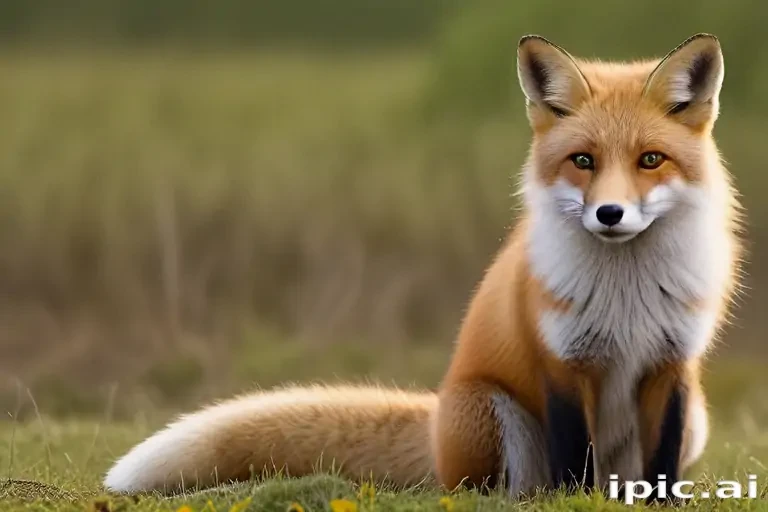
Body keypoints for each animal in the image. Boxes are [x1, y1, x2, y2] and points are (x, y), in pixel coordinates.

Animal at [104, 33, 742, 499]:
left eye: (650, 160)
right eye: (583, 161)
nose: (610, 214)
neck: (624, 295)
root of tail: (434, 423)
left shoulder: (672, 365)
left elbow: (659, 469)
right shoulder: (562, 362)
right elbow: (571, 462)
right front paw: (572, 500)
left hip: (698, 419)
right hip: (491, 414)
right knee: (493, 491)